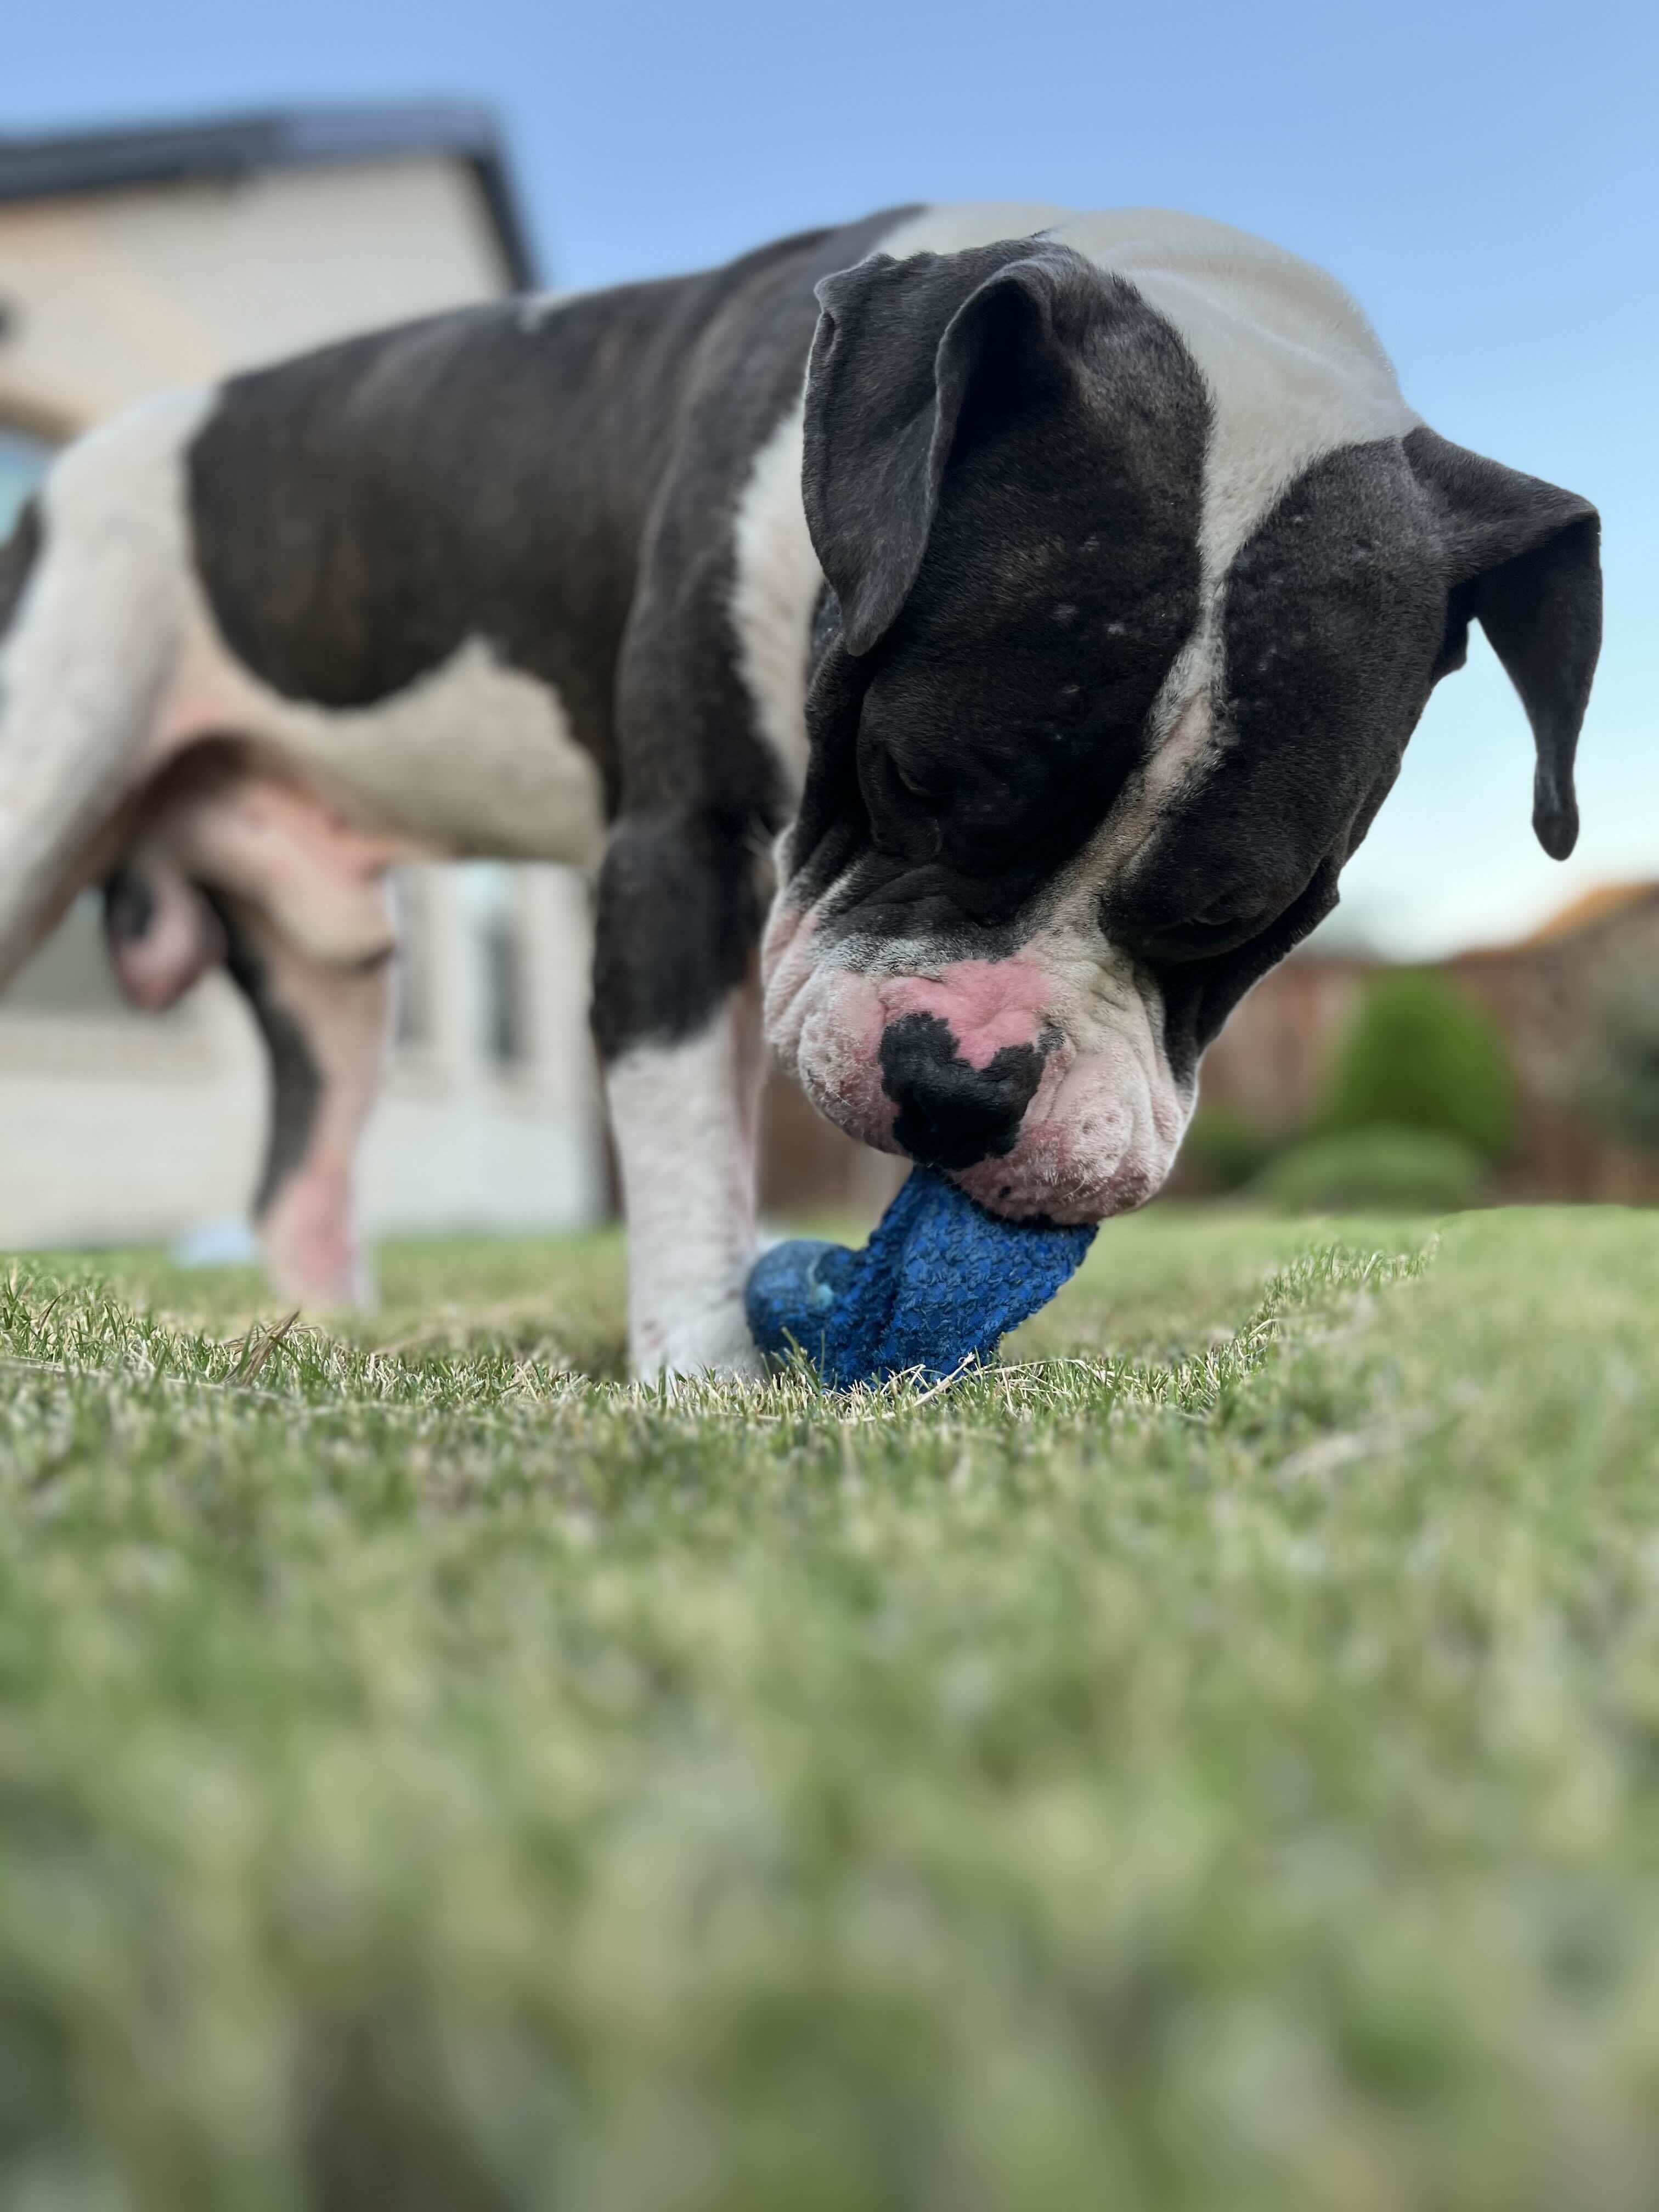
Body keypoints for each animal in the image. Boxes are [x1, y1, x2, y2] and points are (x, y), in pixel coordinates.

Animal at [3, 211, 1610, 1380]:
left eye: (1245, 915)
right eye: (910, 778)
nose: (964, 1086)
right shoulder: (682, 858)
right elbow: (681, 1142)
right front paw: (698, 1383)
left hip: (333, 970)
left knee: (303, 1174)